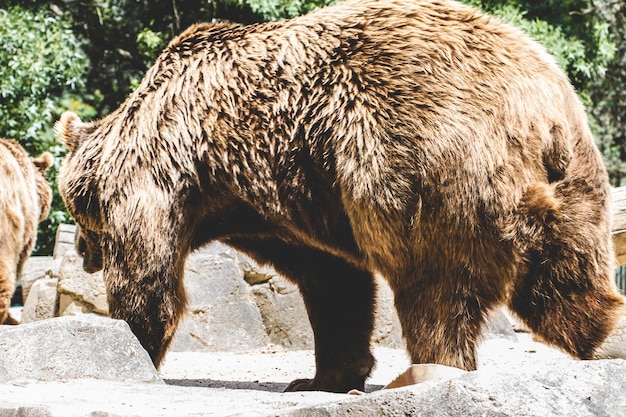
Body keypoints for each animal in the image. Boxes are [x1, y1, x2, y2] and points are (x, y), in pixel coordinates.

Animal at [56, 0, 620, 392]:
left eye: (82, 219)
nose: (81, 255)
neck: (217, 195)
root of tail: (536, 107)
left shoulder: (158, 181)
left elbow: (147, 281)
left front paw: (133, 345)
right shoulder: (287, 203)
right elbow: (334, 281)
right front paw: (321, 376)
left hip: (423, 170)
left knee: (435, 285)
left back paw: (434, 368)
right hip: (575, 184)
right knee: (567, 287)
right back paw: (605, 337)